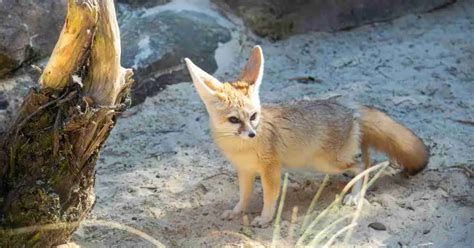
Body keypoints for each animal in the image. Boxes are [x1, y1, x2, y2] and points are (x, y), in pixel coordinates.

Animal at [184, 46, 430, 227]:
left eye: (253, 116)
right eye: (234, 120)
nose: (252, 134)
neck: (240, 147)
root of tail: (348, 106)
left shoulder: (270, 170)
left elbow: (269, 197)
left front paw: (265, 218)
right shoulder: (244, 170)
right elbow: (243, 196)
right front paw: (237, 211)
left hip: (327, 163)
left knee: (363, 165)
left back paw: (355, 196)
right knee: (366, 159)